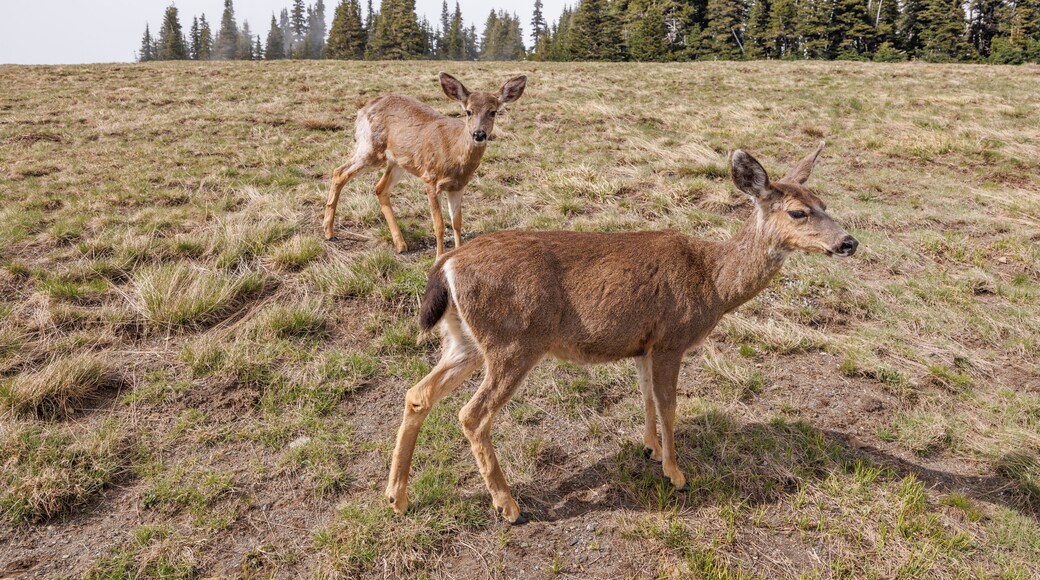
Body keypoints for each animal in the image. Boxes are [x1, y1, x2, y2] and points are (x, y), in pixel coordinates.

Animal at [323, 72, 528, 257]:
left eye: (493, 112)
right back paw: (328, 231)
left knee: (380, 188)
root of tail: (363, 109)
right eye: (468, 111)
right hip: (371, 148)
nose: (478, 134)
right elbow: (439, 225)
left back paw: (400, 244)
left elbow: (457, 223)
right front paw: (438, 258)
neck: (455, 155)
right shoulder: (430, 178)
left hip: (398, 161)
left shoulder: (458, 186)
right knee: (339, 172)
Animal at [383, 142, 859, 524]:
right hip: (513, 341)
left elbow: (646, 396)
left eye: (823, 201)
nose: (849, 242)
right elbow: (669, 406)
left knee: (418, 394)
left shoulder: (644, 344)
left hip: (464, 340)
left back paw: (397, 498)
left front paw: (650, 449)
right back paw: (508, 505)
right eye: (798, 211)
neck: (714, 282)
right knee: (471, 414)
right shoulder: (671, 338)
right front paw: (676, 473)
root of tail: (446, 266)